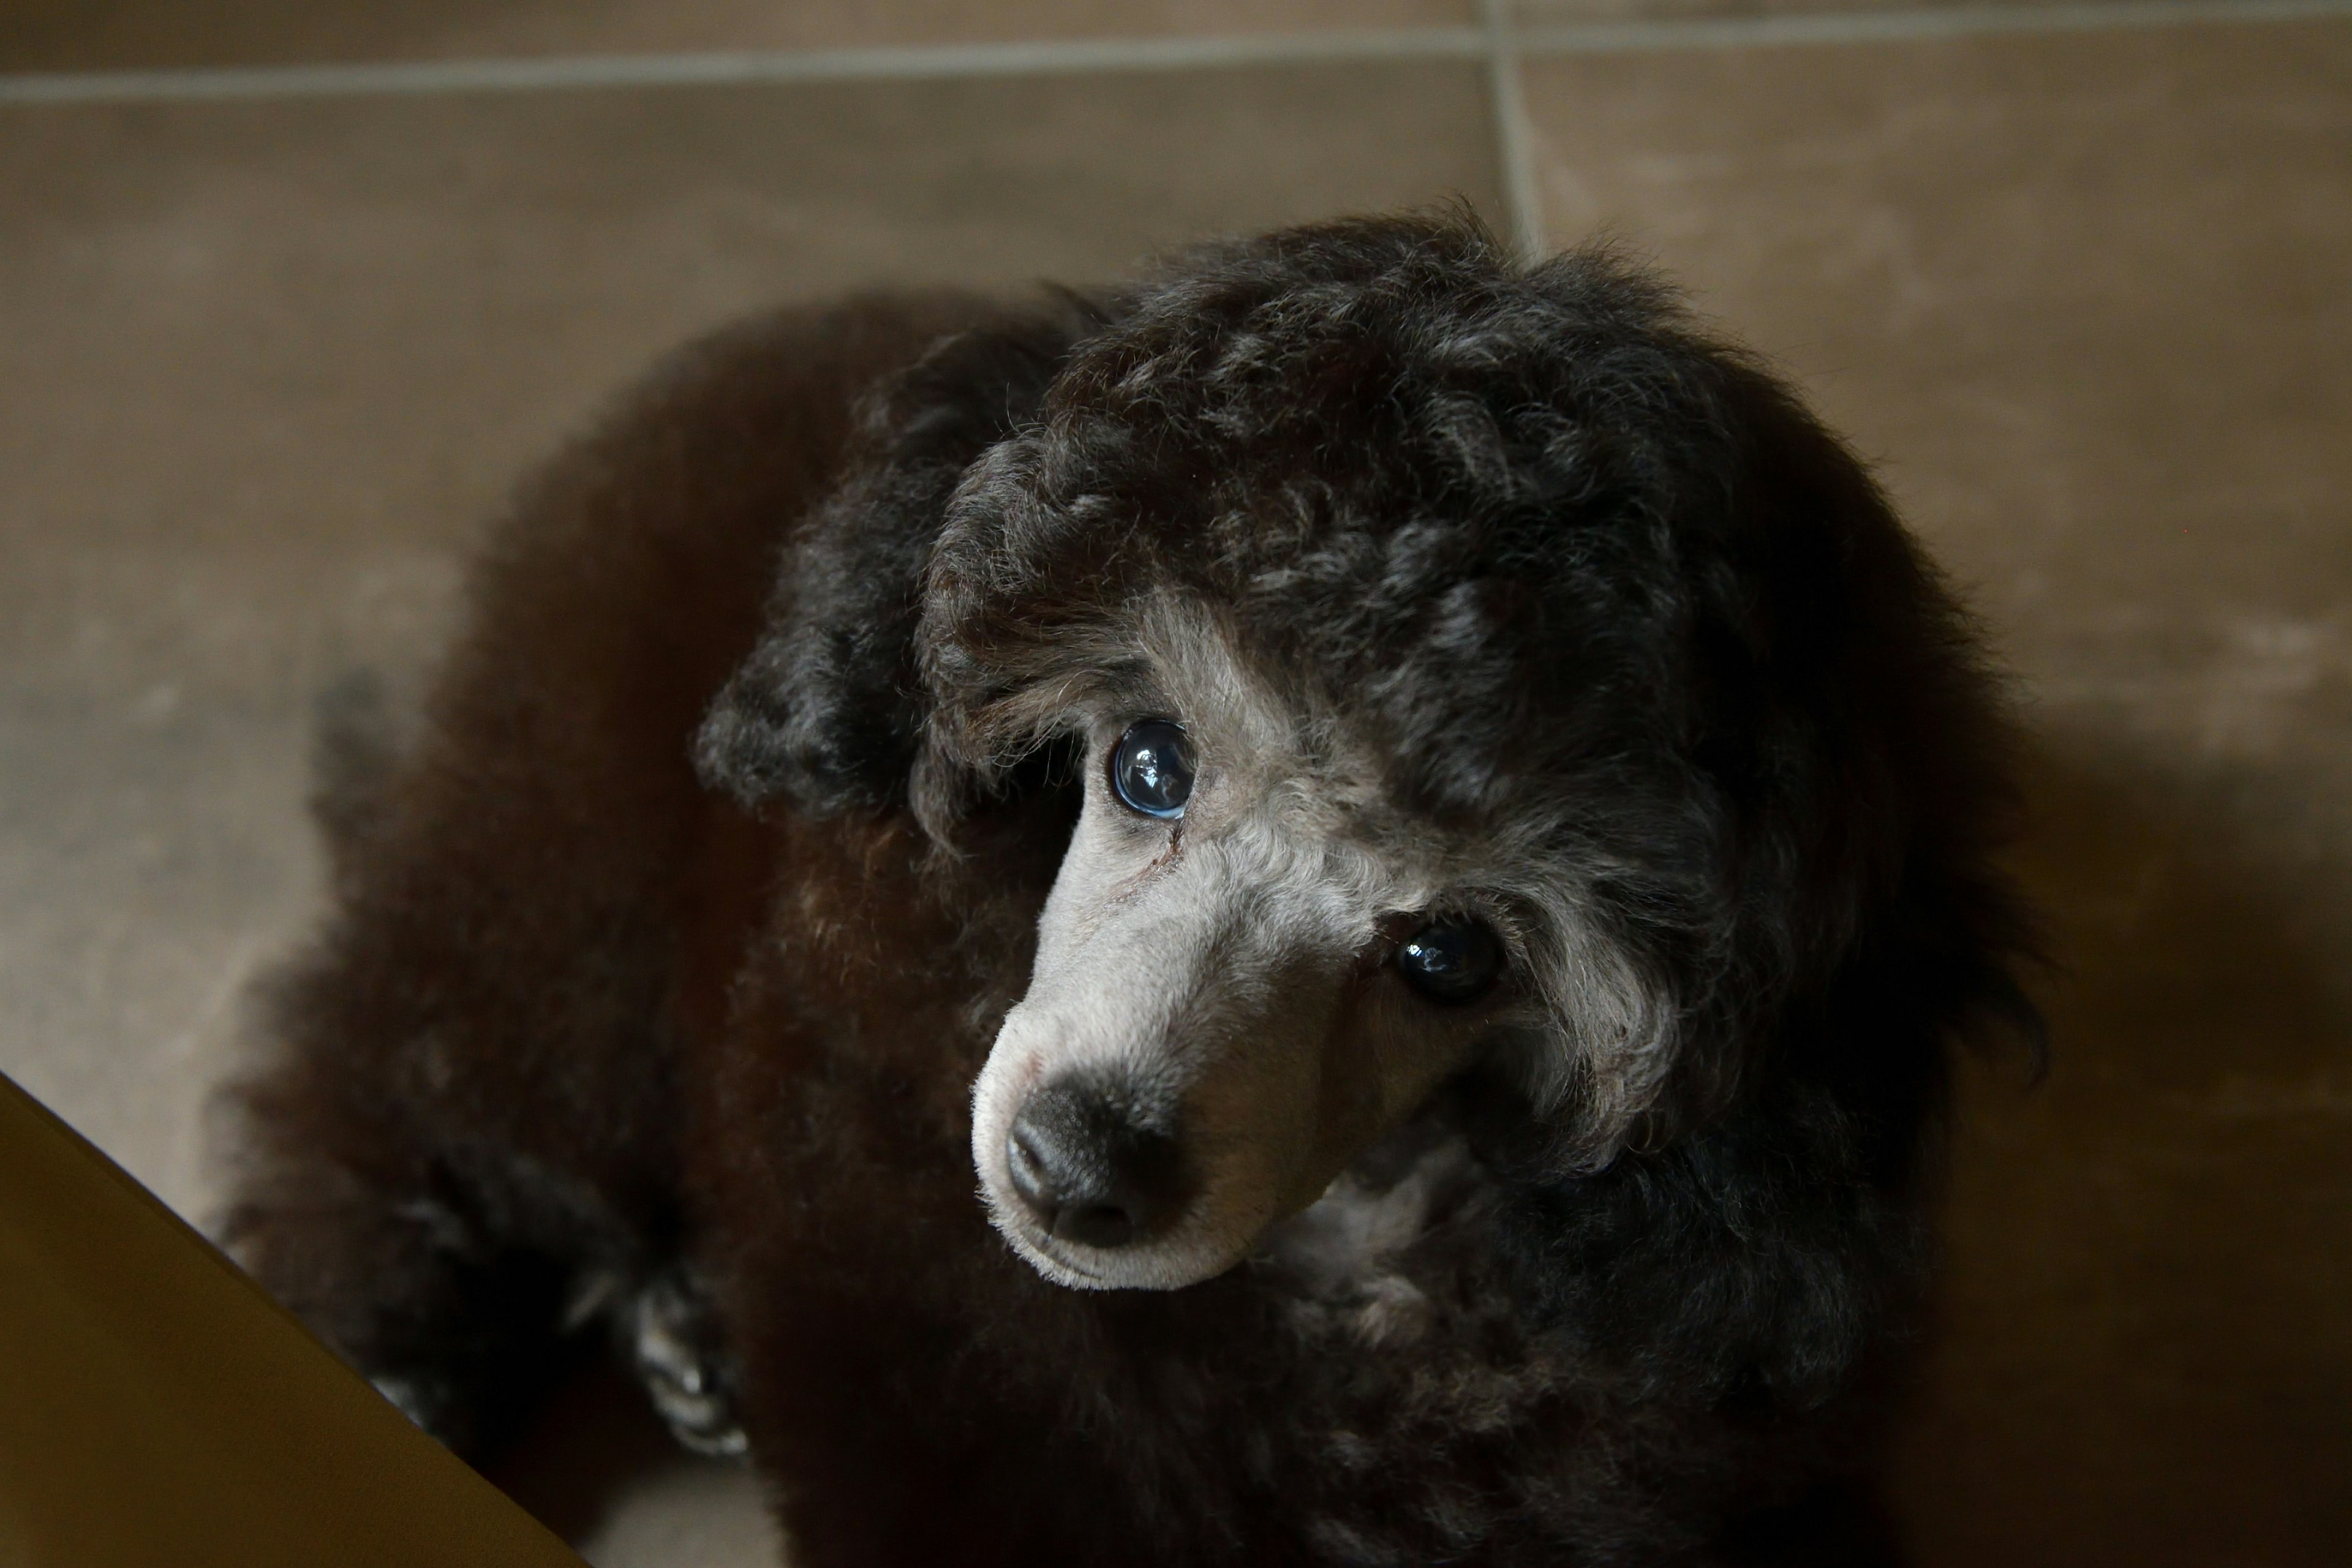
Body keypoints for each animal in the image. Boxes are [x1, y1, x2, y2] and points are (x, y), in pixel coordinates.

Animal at [234, 215, 2041, 1561]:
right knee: (421, 1068)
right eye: (1151, 766)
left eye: (1452, 956)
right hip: (560, 844)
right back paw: (385, 1357)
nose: (1076, 1169)